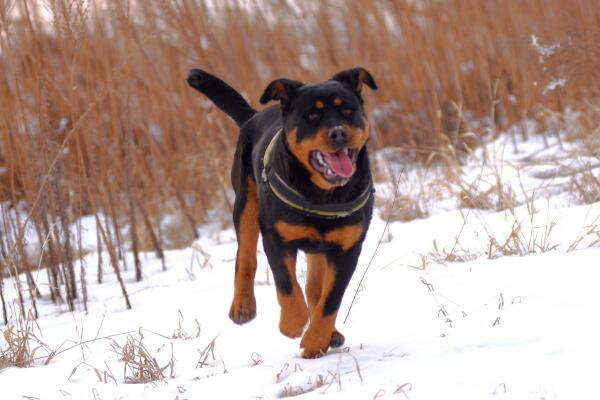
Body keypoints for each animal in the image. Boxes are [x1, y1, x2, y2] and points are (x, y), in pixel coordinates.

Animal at [185, 67, 378, 358]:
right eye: (312, 116)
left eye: (348, 110)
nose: (338, 133)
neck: (322, 194)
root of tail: (254, 116)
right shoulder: (276, 238)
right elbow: (287, 285)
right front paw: (293, 323)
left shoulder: (348, 248)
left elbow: (330, 299)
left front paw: (315, 340)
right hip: (245, 203)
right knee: (246, 256)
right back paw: (242, 307)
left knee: (314, 287)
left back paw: (330, 333)